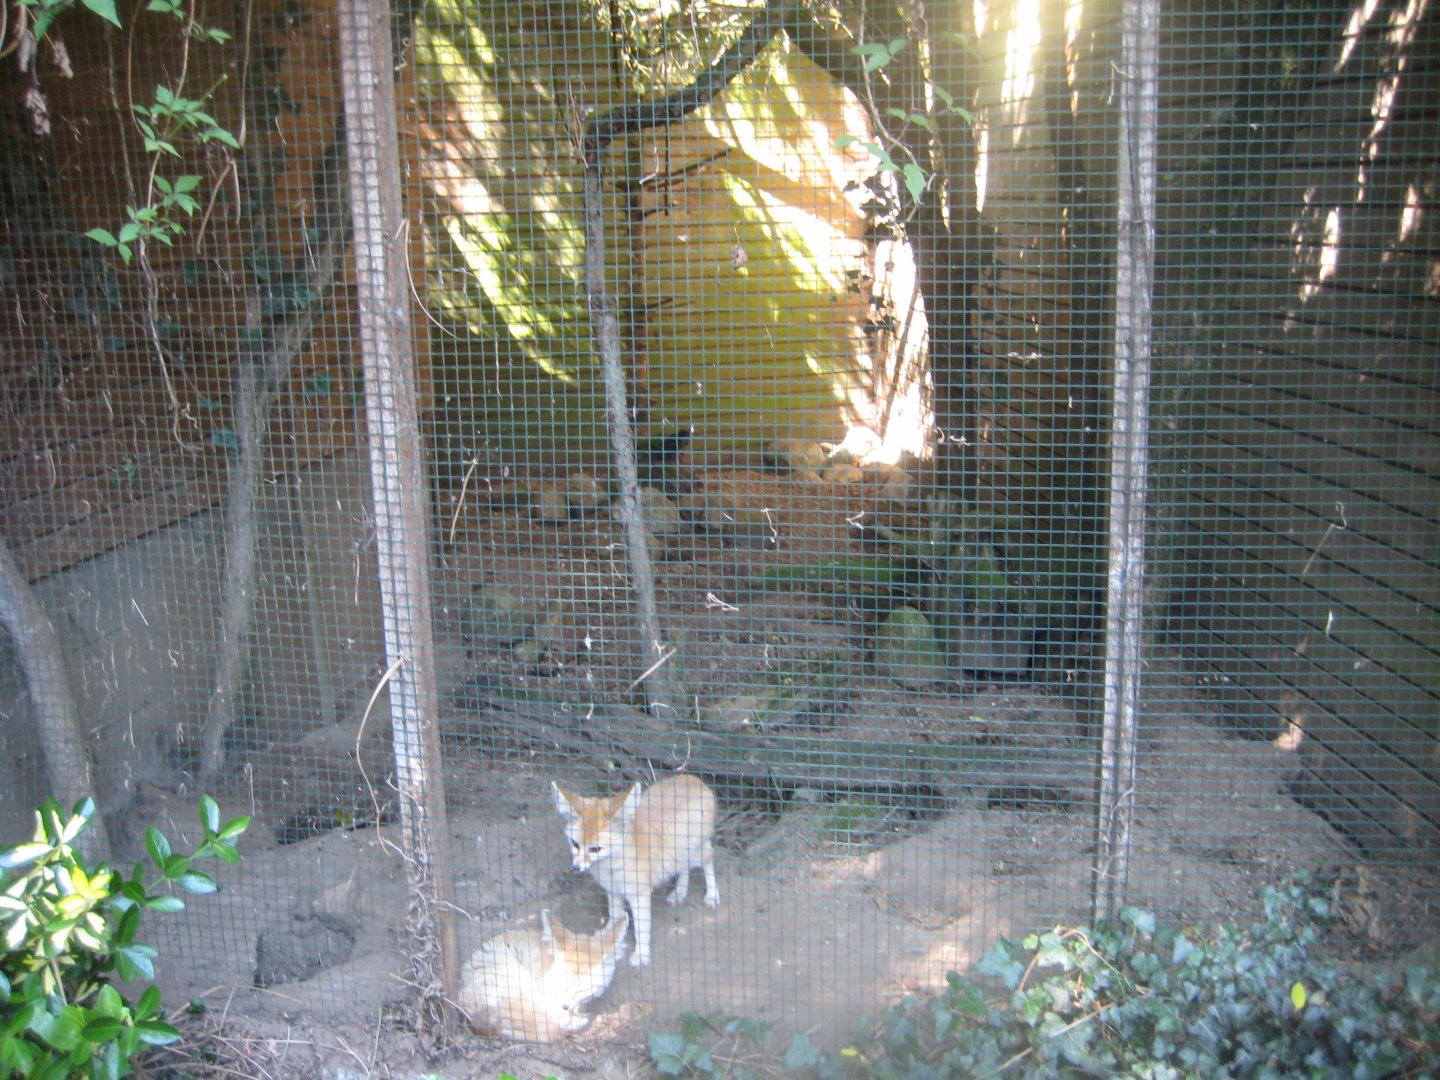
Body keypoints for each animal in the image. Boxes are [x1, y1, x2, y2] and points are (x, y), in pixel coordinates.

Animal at [551, 773, 720, 967]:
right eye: (575, 844)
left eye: (595, 849)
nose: (576, 867)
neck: (612, 868)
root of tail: (692, 778)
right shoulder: (613, 892)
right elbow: (615, 919)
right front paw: (611, 941)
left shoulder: (640, 896)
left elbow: (641, 928)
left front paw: (641, 954)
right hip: (679, 853)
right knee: (684, 868)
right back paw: (679, 892)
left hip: (697, 852)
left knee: (708, 860)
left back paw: (711, 895)